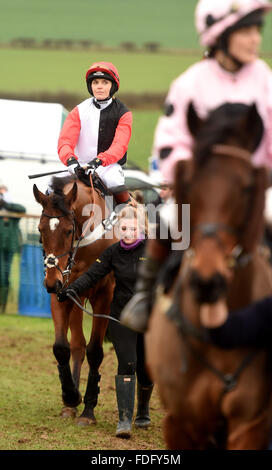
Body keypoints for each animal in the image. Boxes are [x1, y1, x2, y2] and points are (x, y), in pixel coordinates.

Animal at [32, 173, 117, 426]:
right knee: (78, 343)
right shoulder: (62, 293)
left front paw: (88, 410)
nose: (51, 282)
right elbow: (62, 347)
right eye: (40, 230)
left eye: (69, 231)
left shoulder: (104, 296)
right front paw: (70, 396)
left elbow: (95, 351)